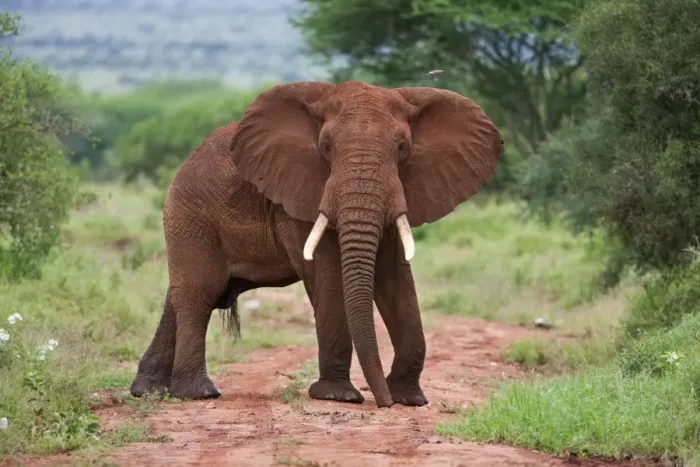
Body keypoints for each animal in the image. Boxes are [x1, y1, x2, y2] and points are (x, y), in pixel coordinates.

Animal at [129, 80, 504, 408]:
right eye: (326, 148)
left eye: (402, 149)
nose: (382, 403)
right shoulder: (299, 194)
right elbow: (329, 276)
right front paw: (339, 396)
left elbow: (396, 280)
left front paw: (410, 400)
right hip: (190, 214)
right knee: (200, 293)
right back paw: (198, 394)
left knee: (181, 295)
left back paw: (148, 391)